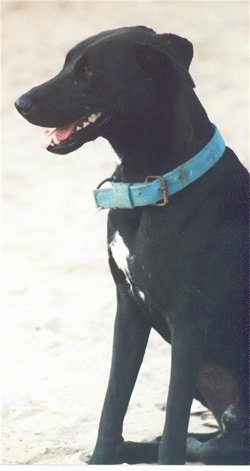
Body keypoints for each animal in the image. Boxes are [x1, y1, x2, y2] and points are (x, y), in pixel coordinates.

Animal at [14, 25, 249, 464]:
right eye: (67, 64)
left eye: (88, 73)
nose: (20, 103)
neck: (151, 184)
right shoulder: (128, 309)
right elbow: (113, 404)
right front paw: (102, 456)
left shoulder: (189, 323)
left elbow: (173, 422)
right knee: (218, 441)